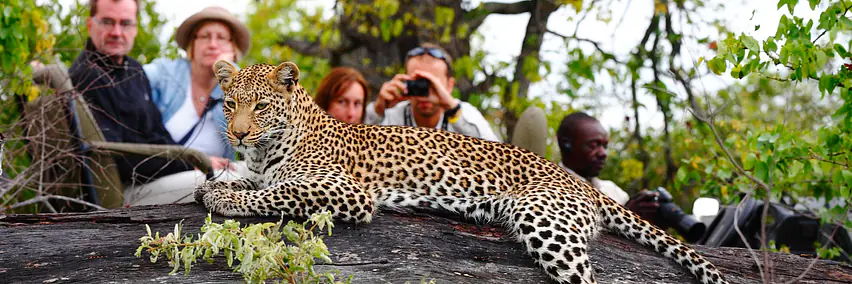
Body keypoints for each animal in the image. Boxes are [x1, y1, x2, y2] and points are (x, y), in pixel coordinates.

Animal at [196, 60, 728, 284]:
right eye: (231, 105)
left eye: (261, 106)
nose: (238, 134)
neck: (267, 148)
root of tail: (581, 182)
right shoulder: (257, 168)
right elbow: (249, 181)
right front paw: (213, 185)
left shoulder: (345, 190)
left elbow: (277, 194)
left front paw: (224, 198)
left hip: (546, 221)